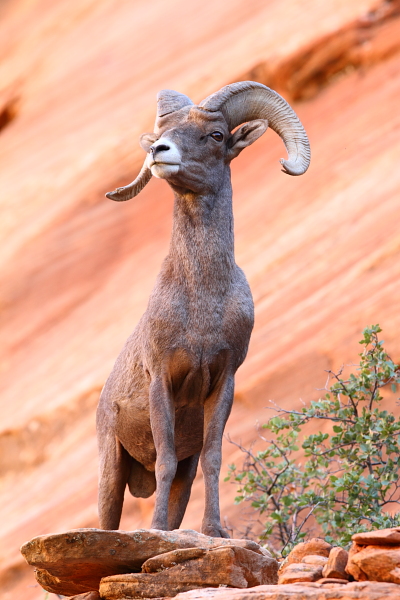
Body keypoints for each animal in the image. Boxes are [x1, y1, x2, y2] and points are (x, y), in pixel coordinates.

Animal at [97, 81, 310, 540]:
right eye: (164, 132)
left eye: (215, 135)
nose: (158, 151)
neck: (201, 305)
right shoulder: (161, 381)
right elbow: (162, 459)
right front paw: (158, 530)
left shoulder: (222, 382)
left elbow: (214, 457)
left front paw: (214, 531)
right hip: (111, 470)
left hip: (185, 471)